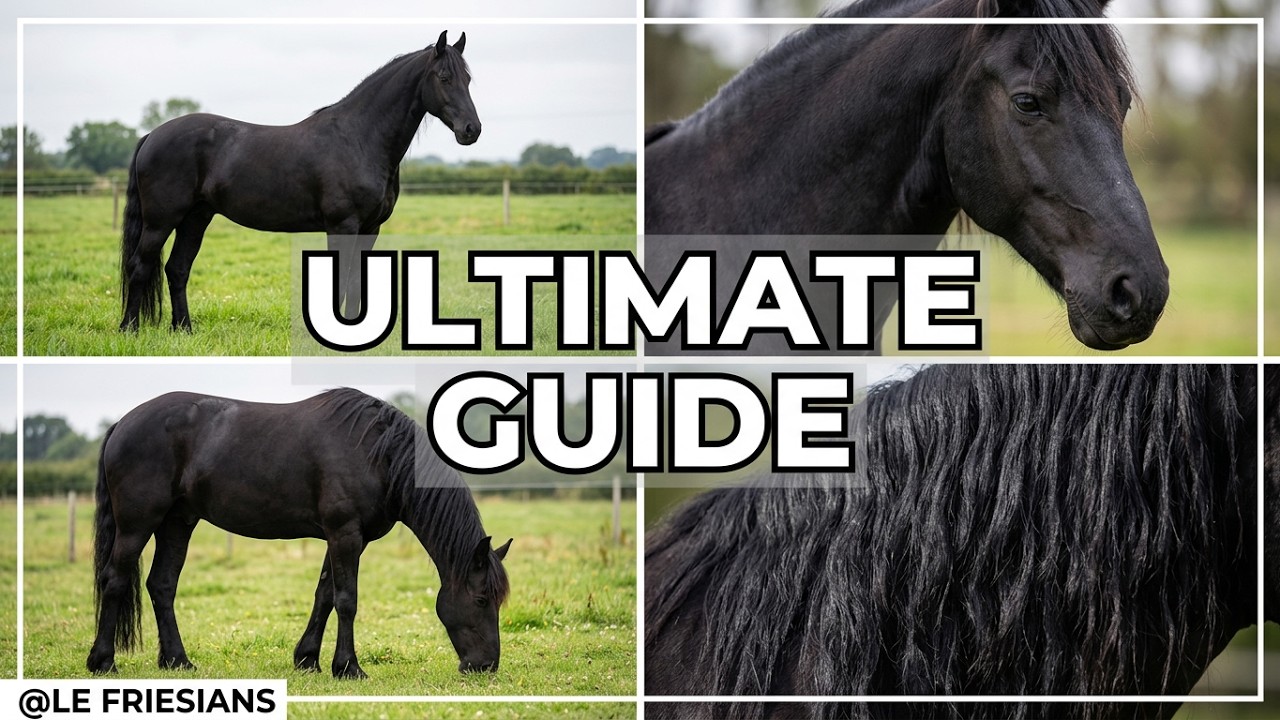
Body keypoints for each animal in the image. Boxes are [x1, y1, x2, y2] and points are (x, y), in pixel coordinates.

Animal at [86, 388, 512, 679]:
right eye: (480, 600)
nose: (486, 665)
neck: (379, 455)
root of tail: (123, 423)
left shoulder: (343, 538)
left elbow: (324, 595)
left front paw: (307, 659)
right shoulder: (345, 534)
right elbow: (347, 600)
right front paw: (348, 667)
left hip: (177, 522)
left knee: (162, 585)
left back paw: (177, 660)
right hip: (138, 524)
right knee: (115, 580)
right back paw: (103, 661)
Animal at [118, 30, 480, 332]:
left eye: (468, 79)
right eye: (444, 78)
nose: (471, 130)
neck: (359, 138)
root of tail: (152, 135)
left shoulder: (370, 228)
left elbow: (356, 283)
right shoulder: (342, 225)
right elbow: (342, 281)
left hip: (195, 218)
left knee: (177, 269)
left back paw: (184, 330)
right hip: (160, 221)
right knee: (140, 266)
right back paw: (130, 330)